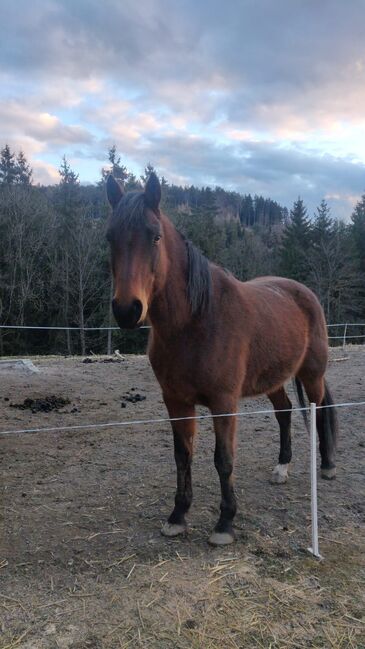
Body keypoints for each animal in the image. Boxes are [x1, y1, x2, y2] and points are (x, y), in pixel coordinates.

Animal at [104, 170, 336, 544]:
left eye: (155, 237)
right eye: (110, 236)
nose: (127, 309)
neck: (196, 322)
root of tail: (304, 293)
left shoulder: (224, 402)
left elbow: (223, 459)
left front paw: (225, 523)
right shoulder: (176, 402)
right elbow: (182, 455)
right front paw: (178, 515)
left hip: (312, 375)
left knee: (320, 411)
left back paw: (327, 466)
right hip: (273, 379)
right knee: (284, 413)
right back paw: (281, 468)